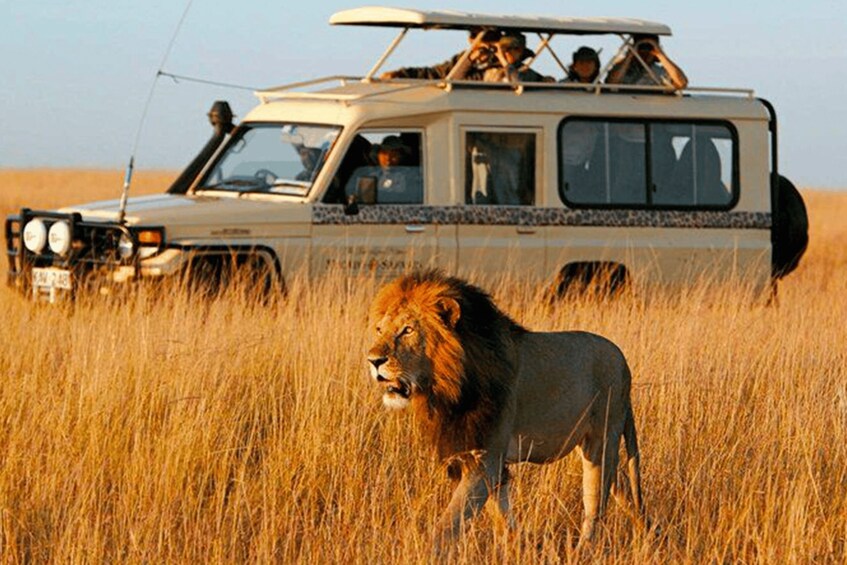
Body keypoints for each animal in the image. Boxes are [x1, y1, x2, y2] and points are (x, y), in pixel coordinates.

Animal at [367, 270, 644, 549]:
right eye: (379, 329)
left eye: (407, 330)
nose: (373, 360)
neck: (450, 386)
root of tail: (623, 361)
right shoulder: (476, 455)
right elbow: (500, 515)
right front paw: (517, 545)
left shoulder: (487, 458)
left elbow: (449, 523)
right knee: (623, 487)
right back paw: (648, 531)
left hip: (602, 439)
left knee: (596, 504)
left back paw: (584, 549)